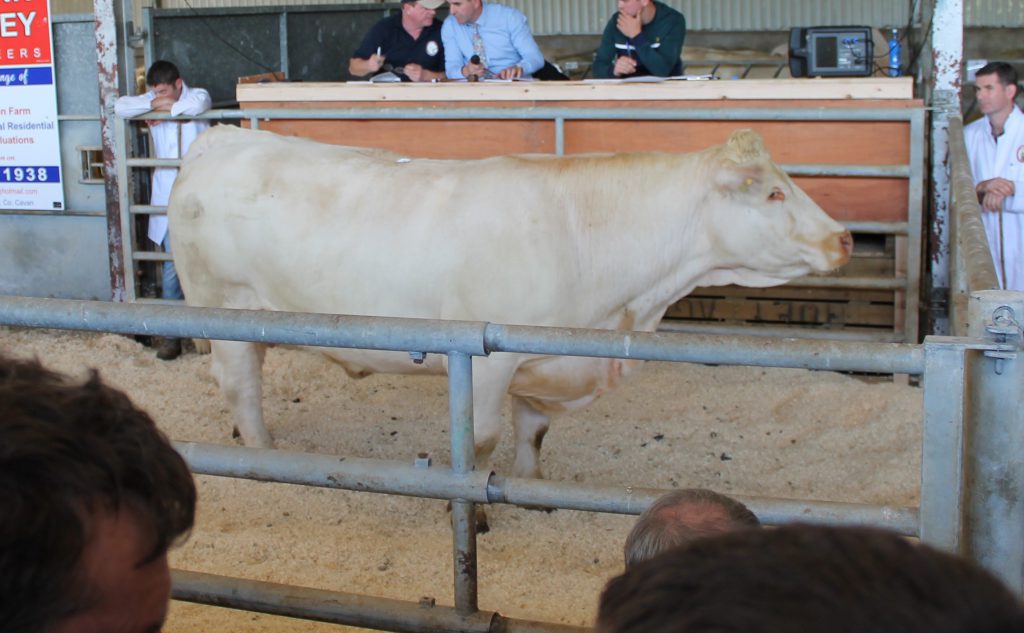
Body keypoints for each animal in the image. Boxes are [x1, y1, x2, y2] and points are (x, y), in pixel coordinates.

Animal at [168, 125, 852, 482]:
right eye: (771, 192)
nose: (843, 238)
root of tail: (218, 137)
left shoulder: (541, 358)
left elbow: (534, 432)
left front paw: (530, 486)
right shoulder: (488, 360)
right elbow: (482, 441)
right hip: (222, 312)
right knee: (241, 387)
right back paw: (264, 455)